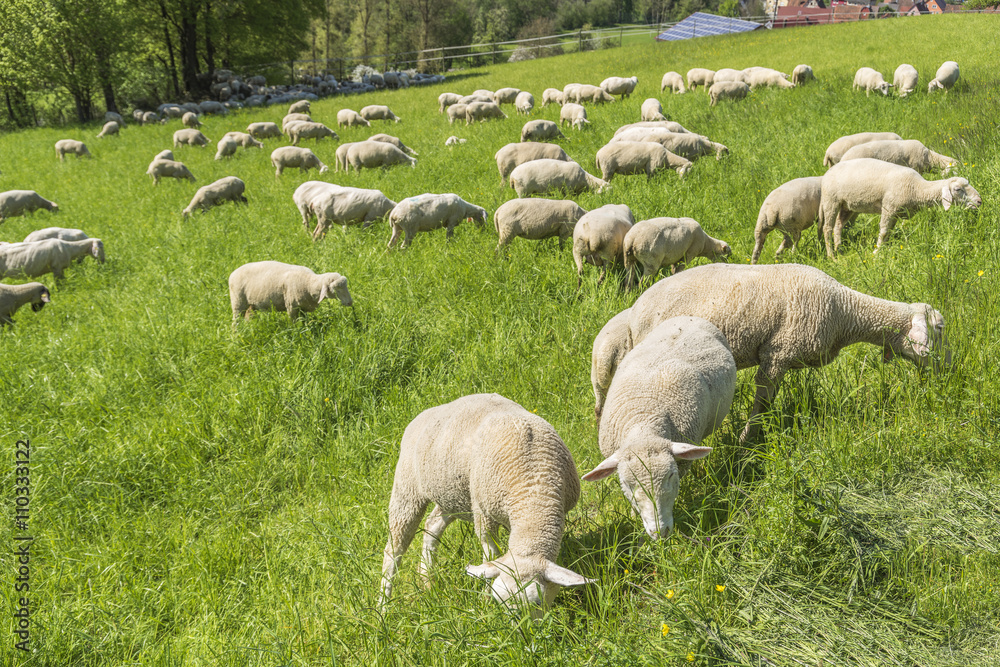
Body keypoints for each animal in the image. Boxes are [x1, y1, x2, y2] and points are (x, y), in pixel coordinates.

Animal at [380, 393, 593, 616]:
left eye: (537, 602)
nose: (523, 628)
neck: (534, 490)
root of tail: (424, 414)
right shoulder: (484, 515)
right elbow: (491, 554)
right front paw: (484, 597)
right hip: (407, 490)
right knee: (393, 550)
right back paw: (383, 607)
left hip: (455, 497)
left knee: (432, 525)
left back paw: (427, 581)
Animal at [583, 316, 734, 539]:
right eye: (628, 484)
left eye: (671, 476)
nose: (660, 532)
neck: (642, 424)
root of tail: (685, 318)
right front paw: (634, 515)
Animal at [616, 262, 952, 443]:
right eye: (939, 327)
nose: (950, 369)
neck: (844, 310)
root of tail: (635, 313)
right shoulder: (777, 353)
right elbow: (763, 402)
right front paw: (747, 440)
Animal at [819, 158, 981, 256]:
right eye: (958, 189)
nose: (979, 201)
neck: (917, 188)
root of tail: (827, 173)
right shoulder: (889, 206)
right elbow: (884, 231)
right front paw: (876, 254)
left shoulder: (896, 212)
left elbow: (889, 232)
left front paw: (884, 250)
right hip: (831, 200)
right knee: (827, 228)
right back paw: (831, 255)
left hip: (847, 206)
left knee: (838, 226)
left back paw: (839, 249)